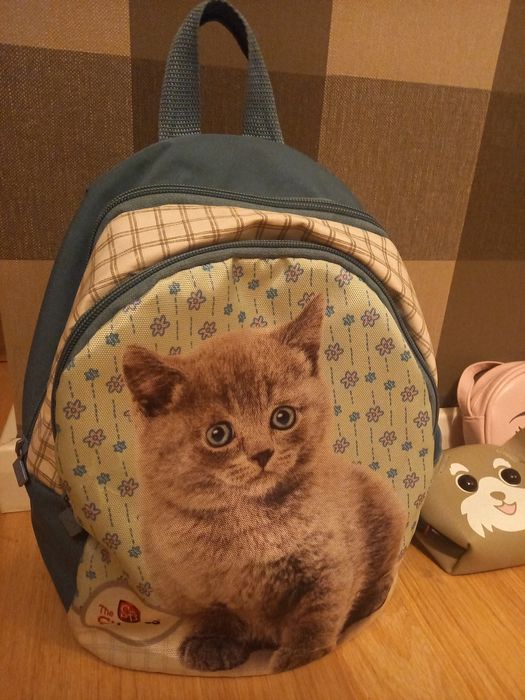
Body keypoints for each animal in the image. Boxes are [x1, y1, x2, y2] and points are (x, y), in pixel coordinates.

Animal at [123, 294, 405, 673]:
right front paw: (211, 644)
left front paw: (300, 658)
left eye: (283, 417)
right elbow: (211, 613)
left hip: (383, 502)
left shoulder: (330, 562)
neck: (251, 523)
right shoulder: (183, 584)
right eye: (218, 434)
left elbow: (318, 612)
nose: (262, 453)